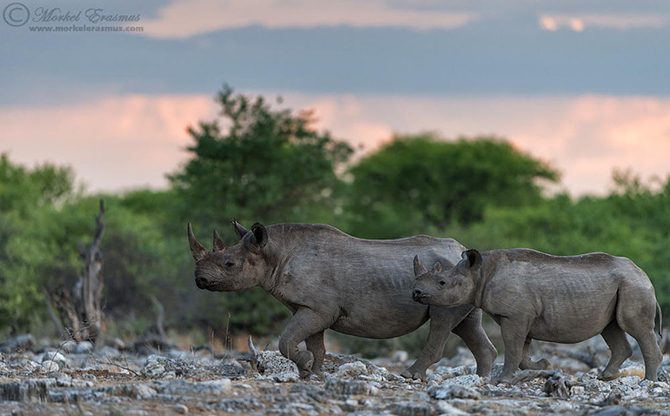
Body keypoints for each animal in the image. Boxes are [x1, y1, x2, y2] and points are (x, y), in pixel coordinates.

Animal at [189, 223, 498, 378]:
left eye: (229, 264)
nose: (199, 280)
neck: (274, 252)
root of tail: (460, 250)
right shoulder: (310, 307)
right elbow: (316, 344)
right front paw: (312, 374)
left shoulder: (318, 308)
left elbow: (287, 340)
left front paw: (304, 366)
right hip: (462, 280)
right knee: (467, 325)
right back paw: (482, 380)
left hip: (445, 282)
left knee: (442, 322)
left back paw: (408, 376)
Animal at [414, 249, 668, 382]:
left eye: (442, 282)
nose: (416, 293)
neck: (481, 272)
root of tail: (644, 275)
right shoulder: (519, 315)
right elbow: (522, 350)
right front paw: (543, 365)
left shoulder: (514, 315)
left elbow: (513, 347)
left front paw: (502, 380)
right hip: (624, 285)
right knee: (611, 328)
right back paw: (606, 377)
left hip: (634, 286)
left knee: (635, 328)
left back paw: (648, 381)